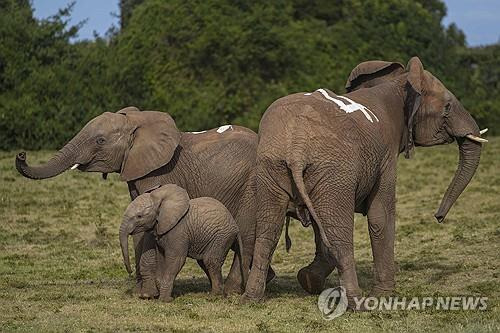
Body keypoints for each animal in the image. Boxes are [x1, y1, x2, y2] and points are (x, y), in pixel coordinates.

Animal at [15, 106, 272, 296]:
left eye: (100, 141)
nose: (21, 154)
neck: (136, 123)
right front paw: (143, 291)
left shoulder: (160, 172)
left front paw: (148, 294)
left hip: (251, 186)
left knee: (246, 234)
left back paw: (233, 290)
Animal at [244, 55, 486, 306]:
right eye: (447, 107)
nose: (438, 217)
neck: (400, 84)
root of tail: (297, 145)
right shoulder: (387, 155)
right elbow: (381, 214)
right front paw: (383, 296)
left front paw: (309, 280)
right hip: (334, 170)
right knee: (338, 233)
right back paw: (357, 303)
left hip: (271, 166)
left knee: (269, 230)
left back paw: (251, 299)